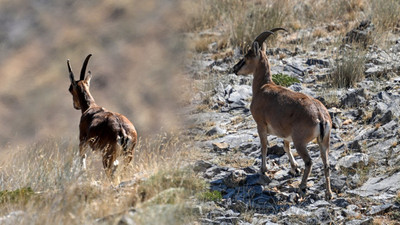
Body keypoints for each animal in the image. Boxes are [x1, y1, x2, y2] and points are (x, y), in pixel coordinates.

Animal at [233, 27, 332, 199]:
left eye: (246, 57)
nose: (234, 69)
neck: (263, 87)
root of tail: (321, 116)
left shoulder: (261, 125)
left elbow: (264, 146)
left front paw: (263, 170)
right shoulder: (286, 133)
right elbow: (285, 146)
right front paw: (294, 168)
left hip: (301, 142)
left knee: (309, 162)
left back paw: (302, 187)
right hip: (324, 142)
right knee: (326, 164)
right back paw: (329, 194)